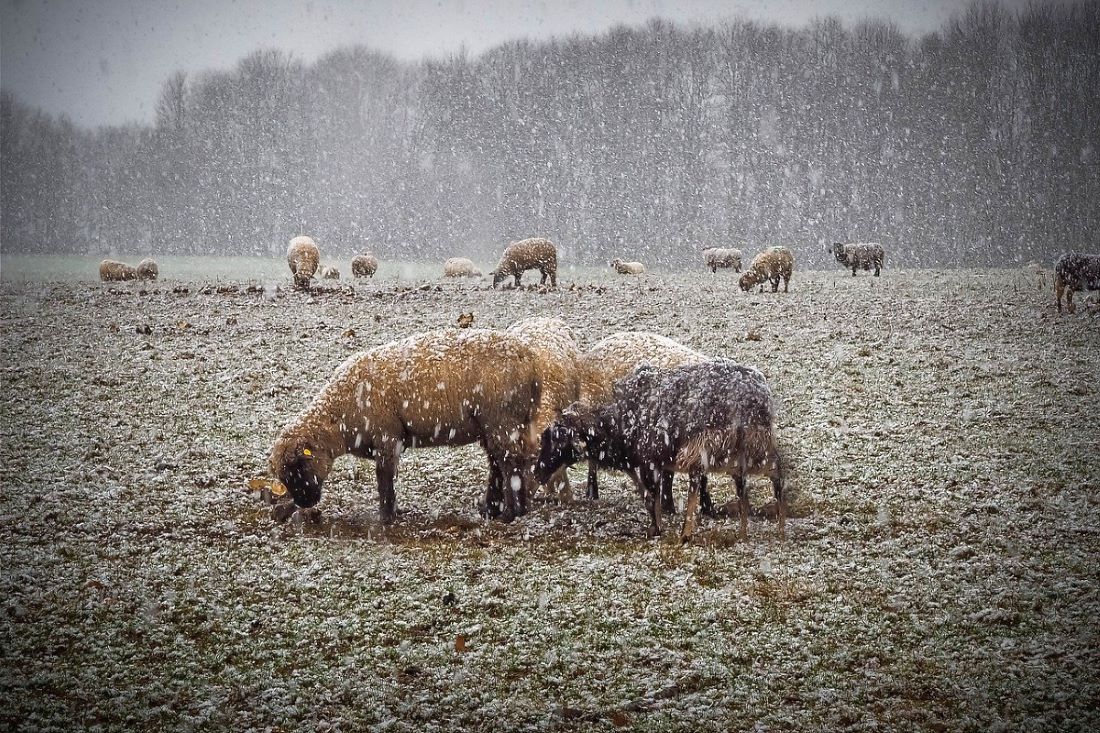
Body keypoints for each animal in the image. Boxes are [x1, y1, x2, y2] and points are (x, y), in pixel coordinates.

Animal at [266, 327, 541, 521]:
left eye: (299, 465)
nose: (304, 503)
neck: (339, 416)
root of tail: (529, 359)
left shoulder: (387, 437)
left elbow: (384, 478)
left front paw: (387, 516)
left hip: (501, 419)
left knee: (510, 463)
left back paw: (511, 513)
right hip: (492, 424)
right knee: (498, 463)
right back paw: (491, 509)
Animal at [539, 356, 783, 539]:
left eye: (557, 440)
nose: (538, 471)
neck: (619, 425)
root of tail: (762, 389)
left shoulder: (651, 462)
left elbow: (651, 497)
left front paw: (655, 529)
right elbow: (652, 496)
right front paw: (658, 525)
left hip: (725, 445)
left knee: (774, 471)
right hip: (733, 450)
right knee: (740, 482)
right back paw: (741, 532)